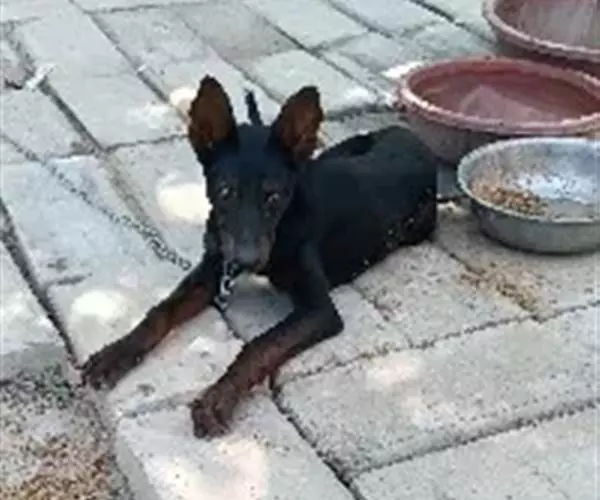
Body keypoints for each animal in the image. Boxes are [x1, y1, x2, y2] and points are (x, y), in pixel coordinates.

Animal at [82, 75, 438, 438]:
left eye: (274, 197)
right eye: (225, 191)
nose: (246, 260)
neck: (283, 226)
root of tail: (411, 135)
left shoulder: (319, 310)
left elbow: (260, 345)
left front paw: (218, 398)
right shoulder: (213, 270)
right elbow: (161, 310)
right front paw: (116, 353)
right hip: (331, 152)